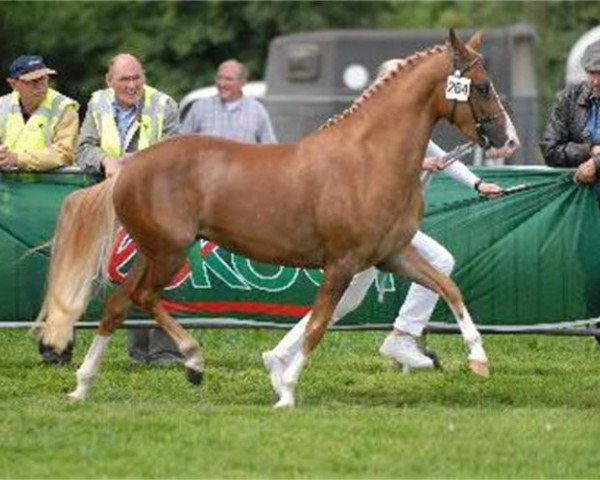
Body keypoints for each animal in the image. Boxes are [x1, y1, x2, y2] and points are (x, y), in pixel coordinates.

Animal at [35, 31, 516, 404]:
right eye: (482, 86)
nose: (507, 140)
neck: (369, 159)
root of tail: (128, 169)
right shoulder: (341, 264)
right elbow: (318, 325)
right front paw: (285, 391)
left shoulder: (392, 254)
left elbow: (448, 287)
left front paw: (478, 359)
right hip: (168, 252)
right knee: (143, 298)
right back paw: (193, 360)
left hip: (151, 252)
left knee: (118, 304)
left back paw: (84, 385)